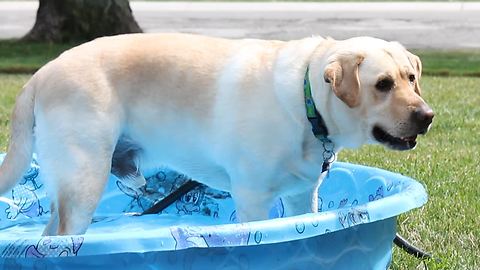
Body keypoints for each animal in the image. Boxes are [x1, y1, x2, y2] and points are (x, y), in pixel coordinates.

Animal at [0, 33, 434, 235]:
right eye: (382, 84)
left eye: (411, 78)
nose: (427, 116)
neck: (305, 98)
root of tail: (41, 73)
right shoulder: (253, 197)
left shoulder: (301, 196)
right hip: (84, 182)